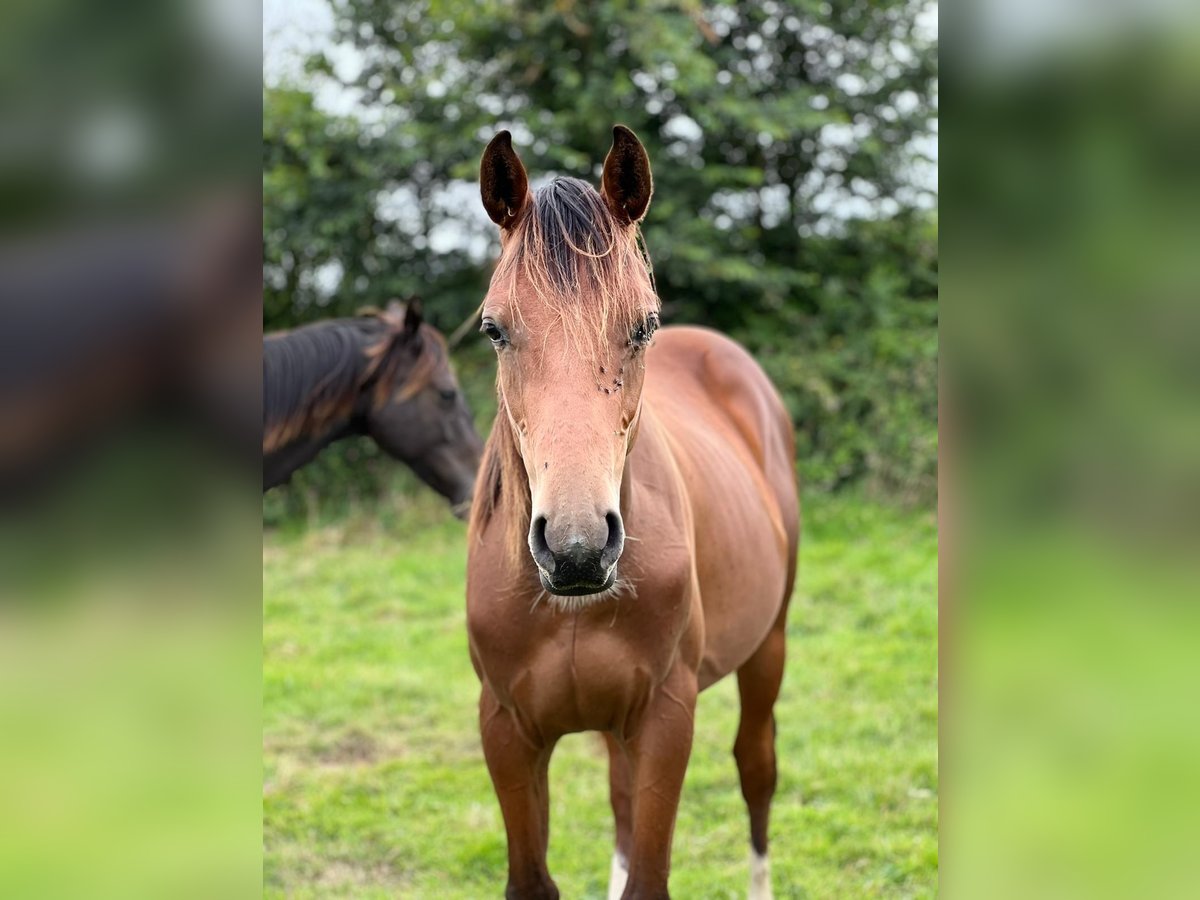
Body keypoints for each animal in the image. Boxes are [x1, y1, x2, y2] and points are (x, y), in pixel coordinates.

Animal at [465, 128, 796, 900]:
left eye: (643, 326)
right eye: (494, 329)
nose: (577, 549)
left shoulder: (666, 718)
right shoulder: (506, 730)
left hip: (768, 646)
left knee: (756, 771)